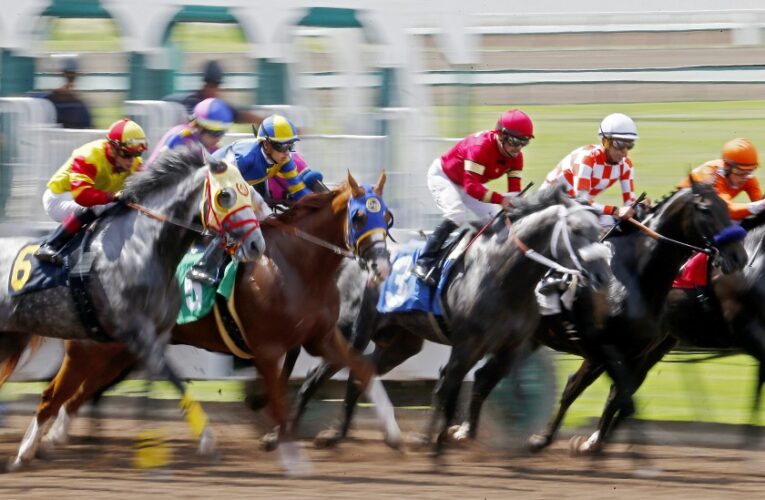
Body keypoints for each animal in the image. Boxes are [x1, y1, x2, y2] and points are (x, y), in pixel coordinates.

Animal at [0, 148, 266, 468]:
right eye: (225, 195)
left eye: (248, 190)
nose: (257, 244)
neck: (142, 247)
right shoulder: (138, 335)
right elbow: (175, 380)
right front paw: (206, 440)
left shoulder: (157, 336)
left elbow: (161, 386)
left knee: (53, 395)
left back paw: (31, 448)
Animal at [10, 171, 400, 472]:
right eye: (360, 218)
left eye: (388, 218)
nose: (382, 267)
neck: (295, 265)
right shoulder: (268, 349)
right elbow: (279, 397)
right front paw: (281, 445)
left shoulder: (322, 337)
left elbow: (363, 369)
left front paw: (394, 434)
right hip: (89, 348)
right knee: (57, 393)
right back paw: (37, 444)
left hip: (121, 351)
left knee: (79, 394)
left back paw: (55, 437)